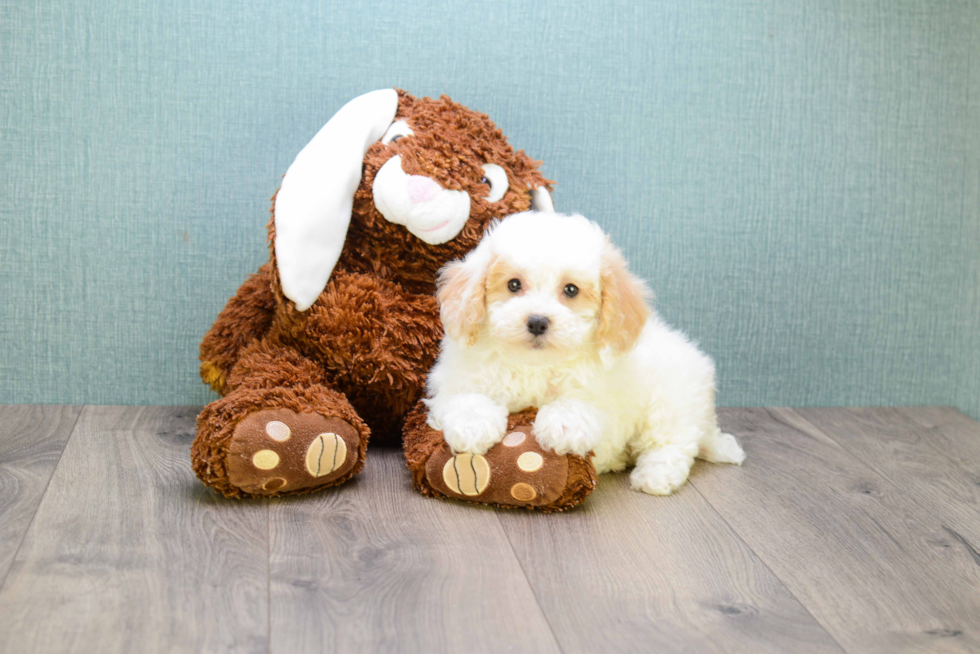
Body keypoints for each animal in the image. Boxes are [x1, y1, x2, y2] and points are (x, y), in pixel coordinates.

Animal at [424, 213, 748, 494]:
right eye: (513, 284)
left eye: (571, 290)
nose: (537, 321)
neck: (534, 365)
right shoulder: (456, 379)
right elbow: (465, 398)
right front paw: (472, 425)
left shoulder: (608, 399)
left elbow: (581, 405)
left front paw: (563, 425)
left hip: (671, 405)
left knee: (672, 445)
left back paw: (654, 476)